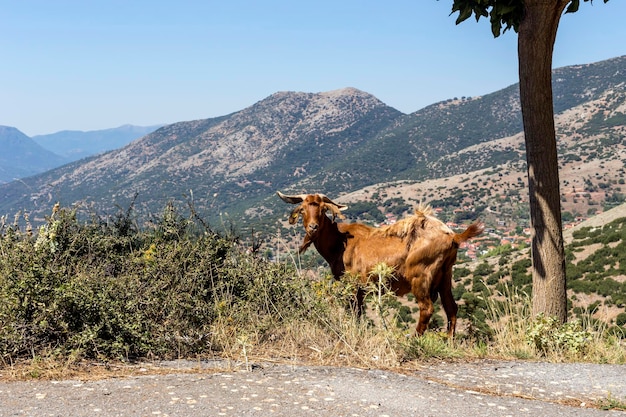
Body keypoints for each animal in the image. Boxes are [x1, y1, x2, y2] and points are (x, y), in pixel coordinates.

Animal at [276, 191, 482, 334]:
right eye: (303, 209)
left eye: (323, 209)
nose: (313, 227)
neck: (339, 242)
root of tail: (452, 235)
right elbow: (358, 313)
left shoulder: (353, 285)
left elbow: (354, 312)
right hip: (446, 275)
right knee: (451, 308)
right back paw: (449, 341)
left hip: (421, 275)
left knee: (427, 308)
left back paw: (414, 339)